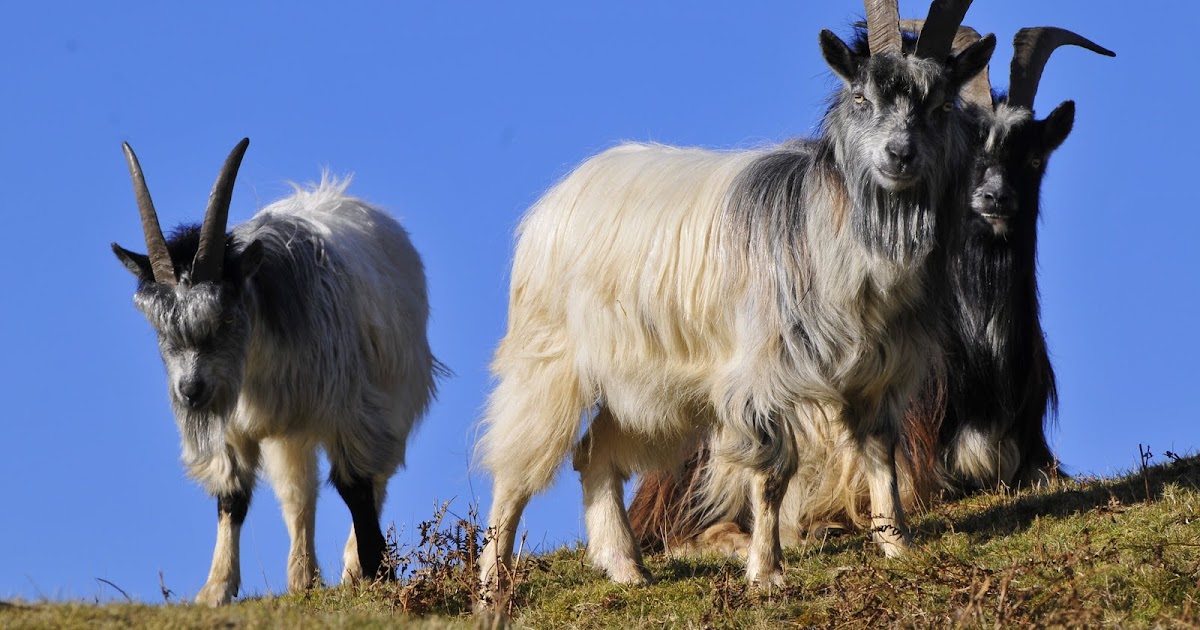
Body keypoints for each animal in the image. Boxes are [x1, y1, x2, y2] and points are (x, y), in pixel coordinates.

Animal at [111, 139, 441, 606]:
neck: (253, 367)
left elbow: (356, 486)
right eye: (160, 327)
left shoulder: (350, 408)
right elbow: (233, 495)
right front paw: (216, 588)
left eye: (227, 317)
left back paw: (349, 565)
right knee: (298, 493)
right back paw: (302, 577)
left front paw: (377, 571)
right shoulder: (232, 425)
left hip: (394, 394)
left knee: (376, 476)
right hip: (289, 434)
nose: (191, 391)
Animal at [475, 0, 994, 599]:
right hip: (550, 360)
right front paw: (766, 573)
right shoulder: (763, 373)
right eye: (861, 97)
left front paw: (898, 548)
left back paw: (626, 567)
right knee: (516, 464)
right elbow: (772, 474)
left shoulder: (881, 374)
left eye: (940, 104)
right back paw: (492, 585)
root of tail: (558, 198)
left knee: (594, 450)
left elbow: (881, 460)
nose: (900, 155)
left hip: (654, 383)